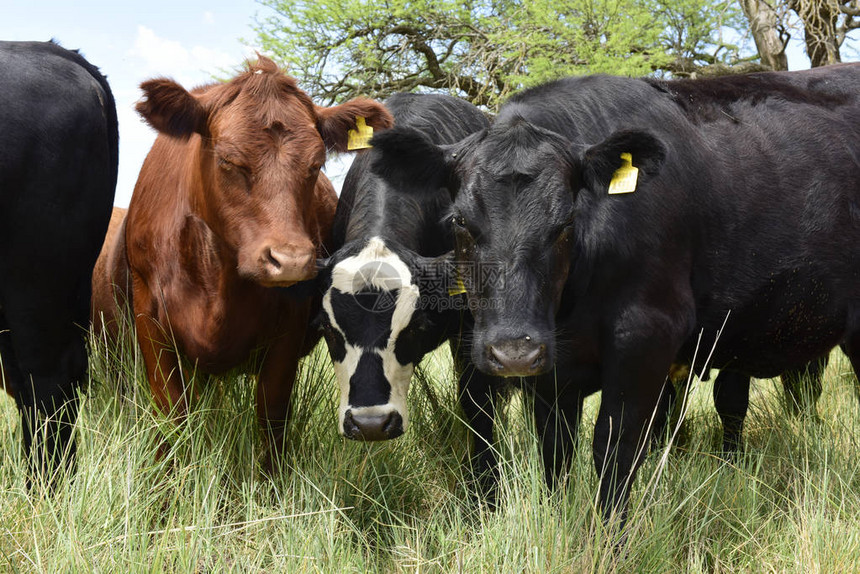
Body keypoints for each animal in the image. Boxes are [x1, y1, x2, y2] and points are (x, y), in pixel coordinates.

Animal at [92, 56, 392, 464]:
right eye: (228, 160)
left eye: (316, 164)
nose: (291, 260)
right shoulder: (151, 325)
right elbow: (172, 416)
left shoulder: (288, 330)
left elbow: (271, 414)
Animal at [372, 65, 860, 524]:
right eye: (459, 221)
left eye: (566, 222)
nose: (514, 353)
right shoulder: (553, 372)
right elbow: (555, 452)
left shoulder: (646, 336)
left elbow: (616, 449)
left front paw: (609, 541)